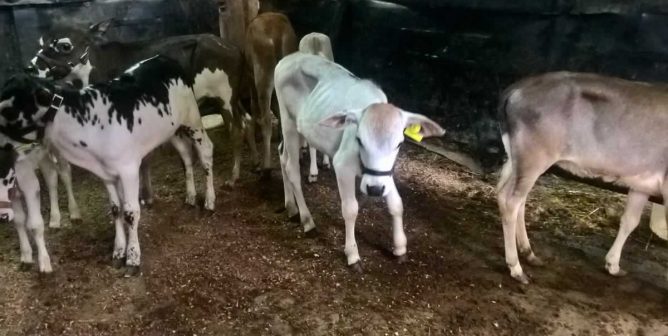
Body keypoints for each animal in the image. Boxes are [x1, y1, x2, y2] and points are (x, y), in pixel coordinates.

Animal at [0, 55, 214, 276]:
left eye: (7, 110)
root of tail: (164, 58)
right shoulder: (106, 174)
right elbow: (116, 209)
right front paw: (119, 251)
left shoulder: (129, 169)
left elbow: (131, 212)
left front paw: (133, 259)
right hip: (173, 130)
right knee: (186, 155)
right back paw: (190, 197)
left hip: (192, 118)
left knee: (206, 151)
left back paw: (209, 201)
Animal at [274, 53, 446, 270]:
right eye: (359, 139)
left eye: (399, 143)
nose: (375, 189)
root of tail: (290, 57)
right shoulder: (342, 166)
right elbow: (350, 209)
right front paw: (352, 254)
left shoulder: (385, 175)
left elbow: (396, 203)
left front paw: (400, 247)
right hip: (287, 121)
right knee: (292, 169)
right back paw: (307, 220)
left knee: (282, 156)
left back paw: (290, 206)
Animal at [496, 71, 668, 284]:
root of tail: (517, 88)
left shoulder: (641, 184)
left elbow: (630, 221)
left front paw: (613, 264)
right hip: (533, 157)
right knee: (511, 201)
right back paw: (516, 267)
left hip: (517, 159)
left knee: (509, 194)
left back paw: (529, 253)